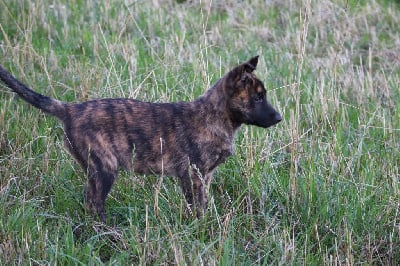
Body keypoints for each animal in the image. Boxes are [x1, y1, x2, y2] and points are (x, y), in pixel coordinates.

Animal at [0, 56, 282, 222]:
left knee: (89, 202)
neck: (215, 115)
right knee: (94, 204)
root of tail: (70, 109)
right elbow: (196, 207)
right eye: (258, 97)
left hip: (94, 170)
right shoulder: (193, 175)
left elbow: (201, 204)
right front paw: (200, 229)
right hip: (105, 168)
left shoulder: (205, 176)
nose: (279, 118)